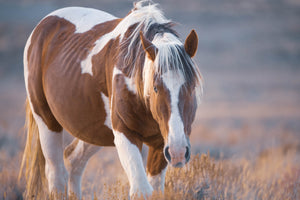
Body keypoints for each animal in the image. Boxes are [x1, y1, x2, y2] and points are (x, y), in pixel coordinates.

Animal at [19, 1, 204, 198]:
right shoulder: (125, 133)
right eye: (155, 88)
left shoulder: (161, 142)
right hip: (46, 120)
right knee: (56, 174)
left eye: (192, 86)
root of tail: (43, 25)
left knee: (73, 160)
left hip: (94, 129)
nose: (178, 152)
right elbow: (141, 190)